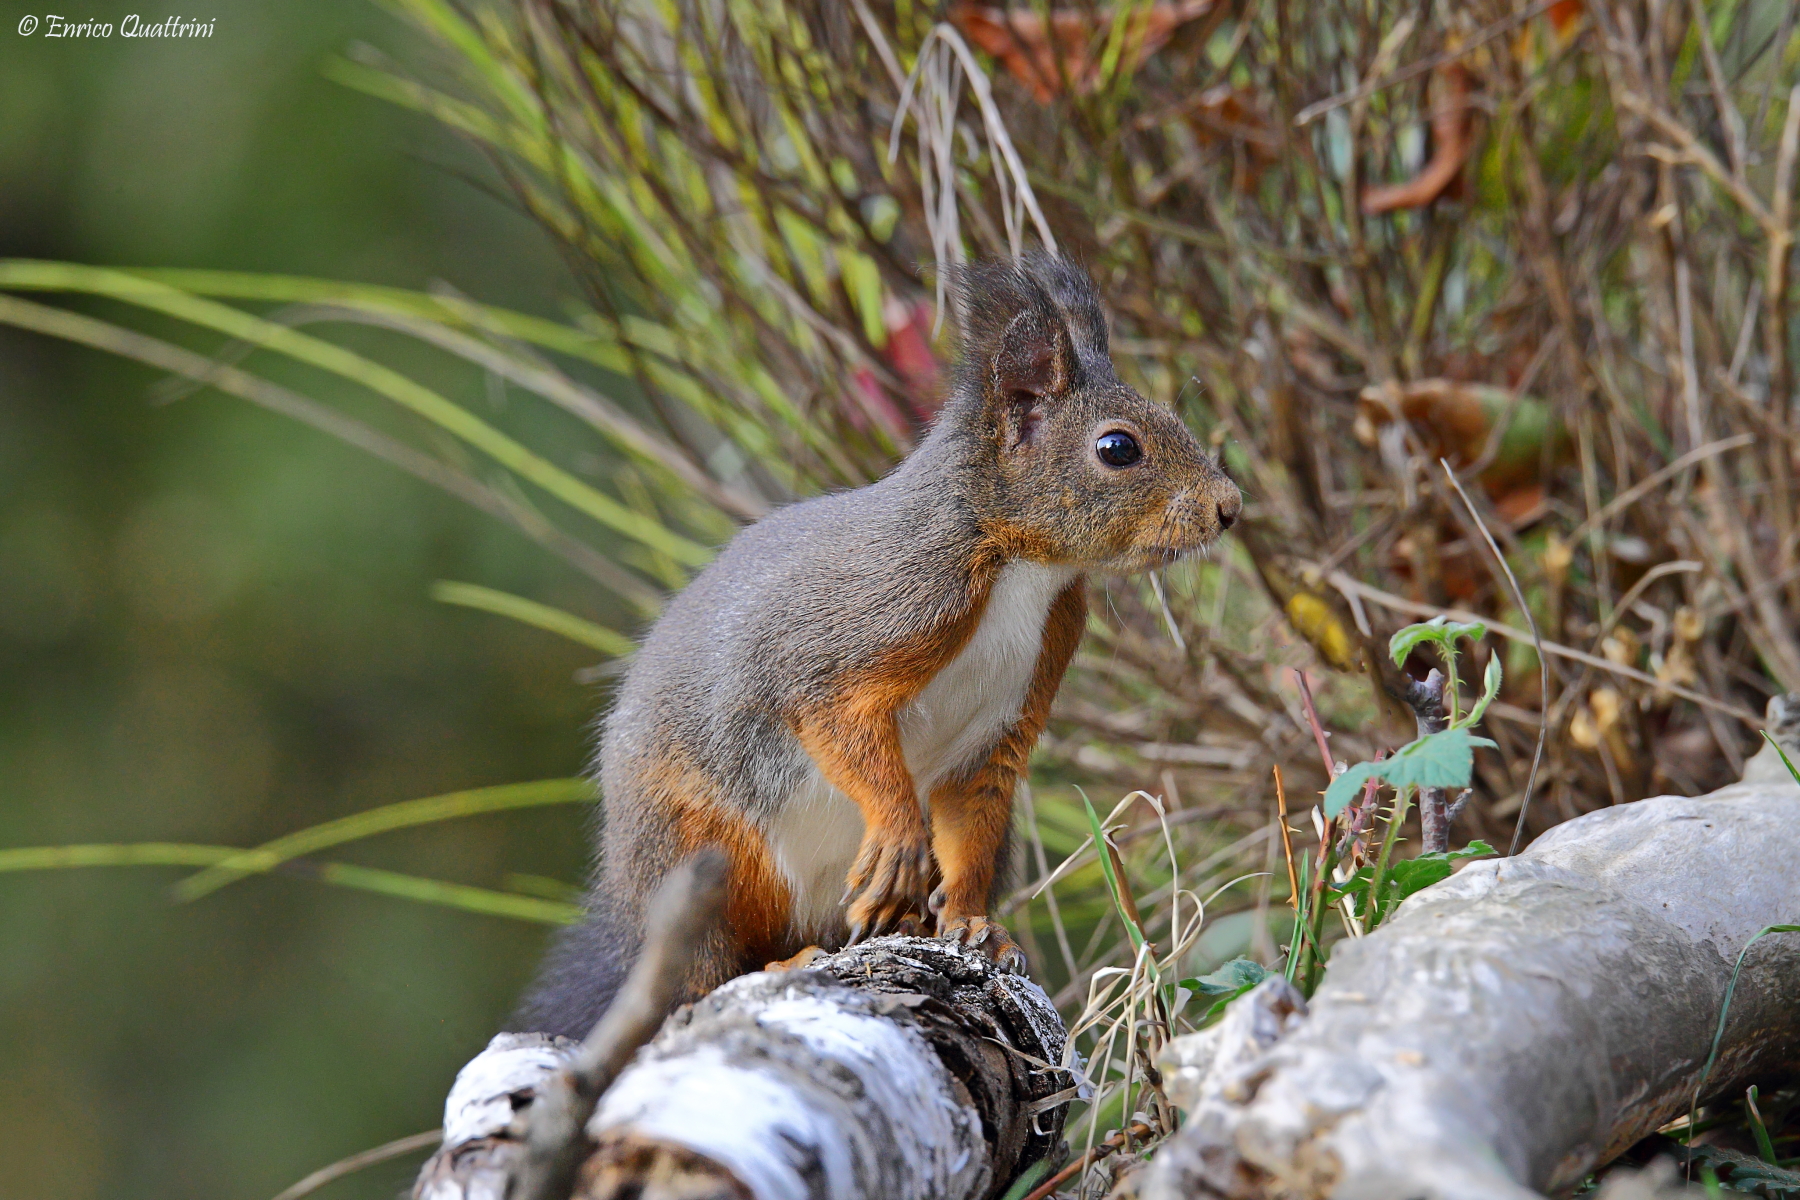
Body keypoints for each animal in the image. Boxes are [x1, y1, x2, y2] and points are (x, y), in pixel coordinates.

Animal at [511, 256, 1241, 1039]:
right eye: (1117, 448)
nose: (1230, 507)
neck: (1020, 568)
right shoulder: (856, 629)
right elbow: (836, 722)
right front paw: (896, 841)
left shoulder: (1007, 722)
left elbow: (971, 823)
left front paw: (973, 925)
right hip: (688, 859)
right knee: (699, 976)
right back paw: (784, 961)